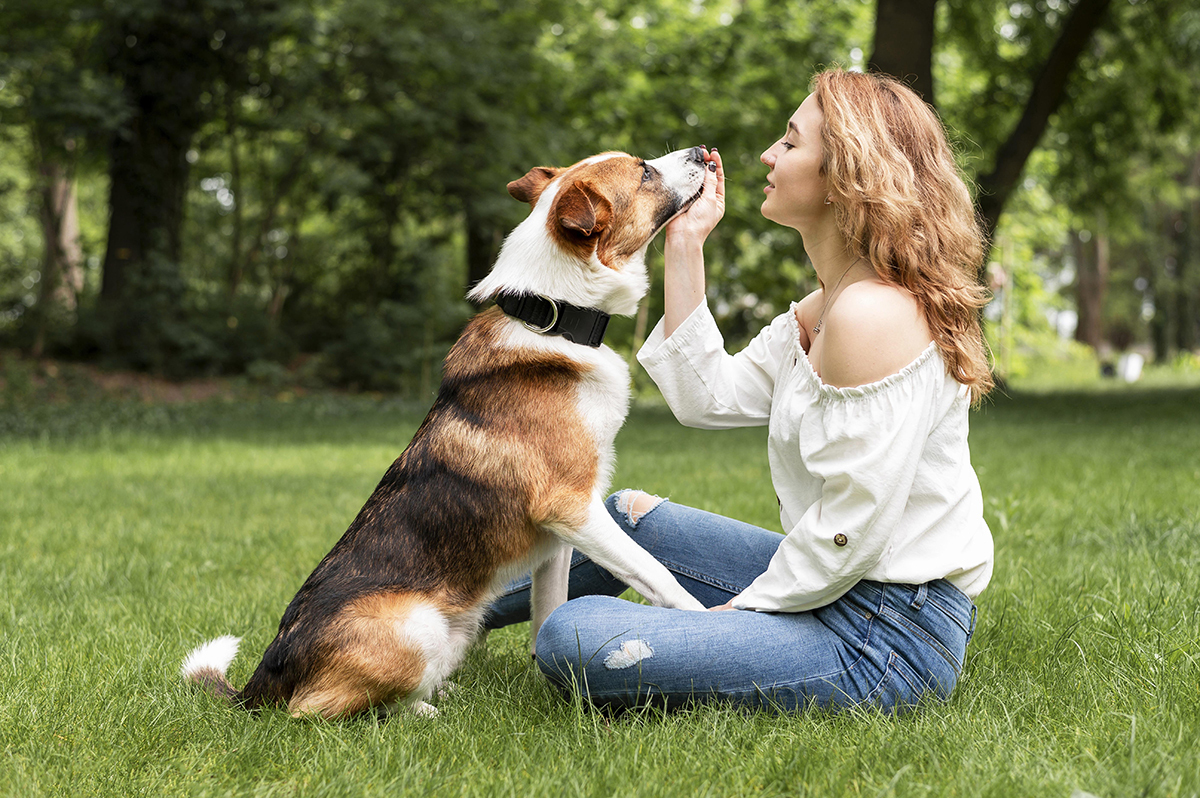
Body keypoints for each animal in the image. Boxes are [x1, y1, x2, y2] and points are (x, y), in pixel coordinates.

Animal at [182, 146, 710, 720]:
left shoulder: (560, 537)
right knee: (316, 712)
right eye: (644, 171)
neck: (553, 318)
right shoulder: (571, 507)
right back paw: (427, 714)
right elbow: (656, 574)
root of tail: (264, 680)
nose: (701, 152)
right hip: (415, 627)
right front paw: (714, 617)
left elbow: (549, 614)